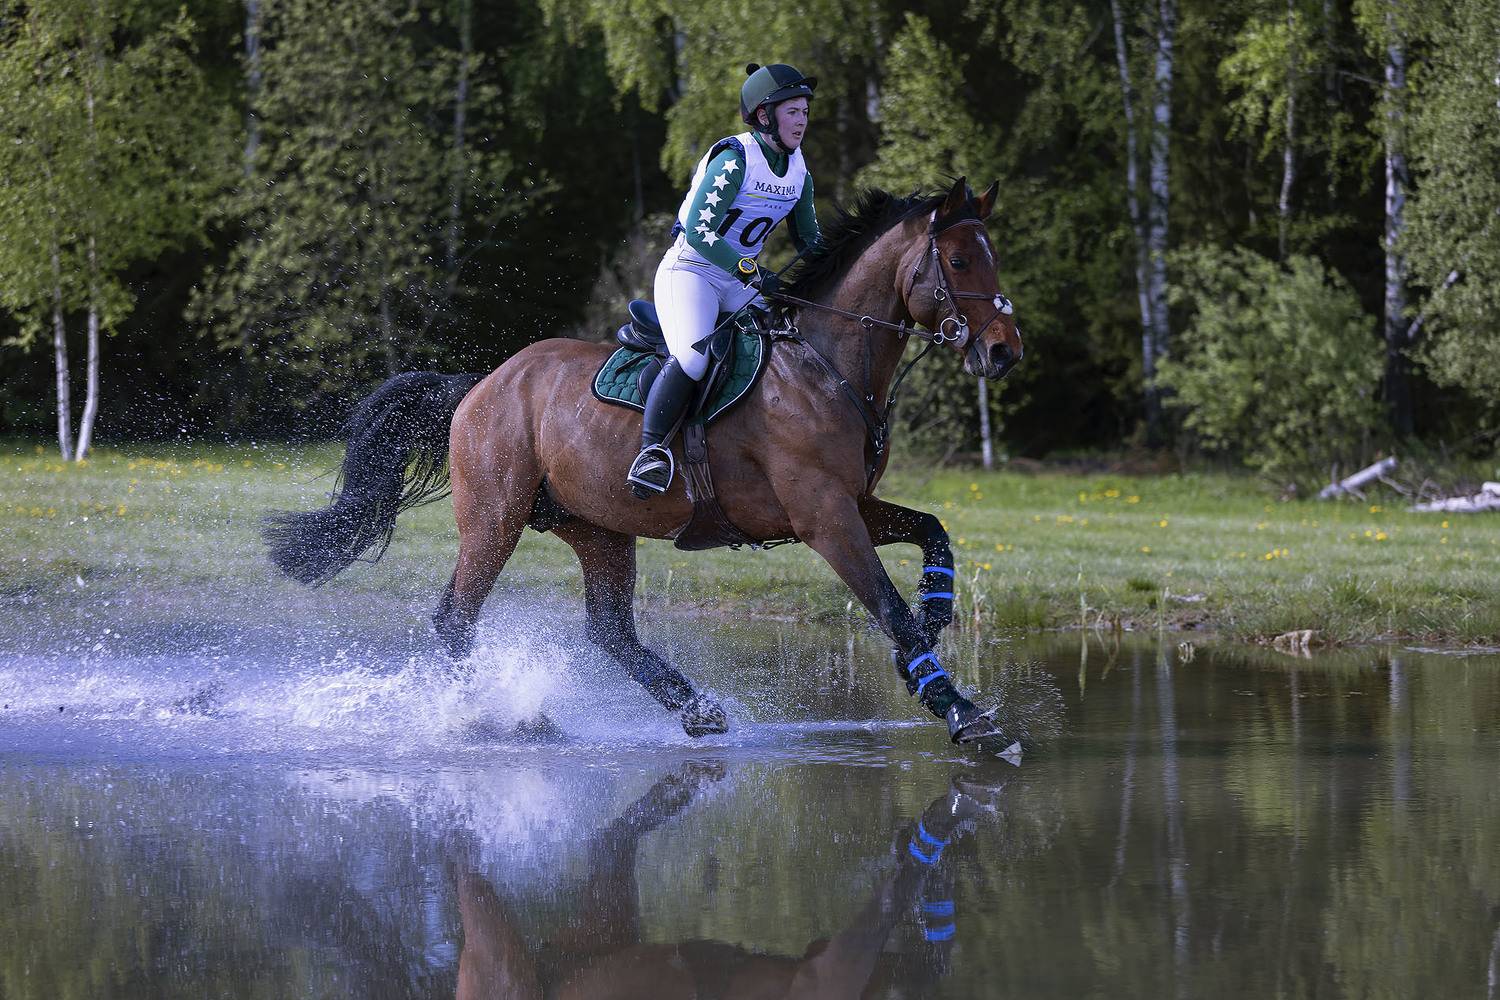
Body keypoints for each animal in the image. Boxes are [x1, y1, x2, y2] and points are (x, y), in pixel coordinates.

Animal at [263, 177, 1024, 745]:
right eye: (960, 262)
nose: (1004, 351)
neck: (824, 365)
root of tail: (480, 384)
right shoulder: (824, 516)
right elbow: (887, 607)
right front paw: (962, 713)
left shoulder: (854, 503)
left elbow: (933, 532)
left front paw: (937, 611)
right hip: (494, 519)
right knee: (457, 618)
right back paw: (476, 717)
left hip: (597, 528)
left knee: (608, 630)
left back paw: (696, 709)